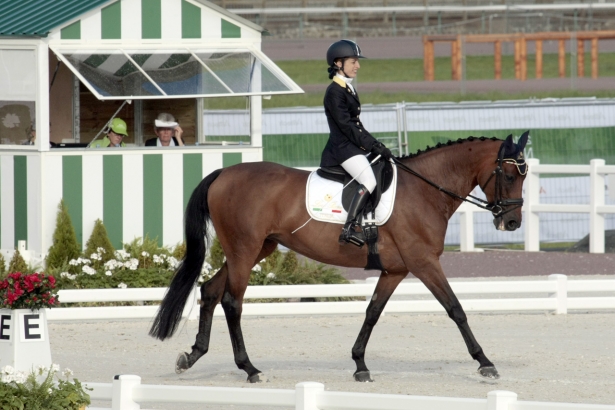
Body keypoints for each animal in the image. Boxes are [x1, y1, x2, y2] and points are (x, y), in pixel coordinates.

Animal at [149, 133, 528, 382]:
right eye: (509, 175)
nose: (511, 223)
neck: (424, 190)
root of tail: (222, 173)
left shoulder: (395, 270)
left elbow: (373, 313)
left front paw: (360, 365)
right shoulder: (423, 263)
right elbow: (455, 309)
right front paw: (485, 362)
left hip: (256, 249)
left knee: (210, 291)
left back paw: (192, 356)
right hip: (244, 249)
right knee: (232, 302)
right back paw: (249, 368)